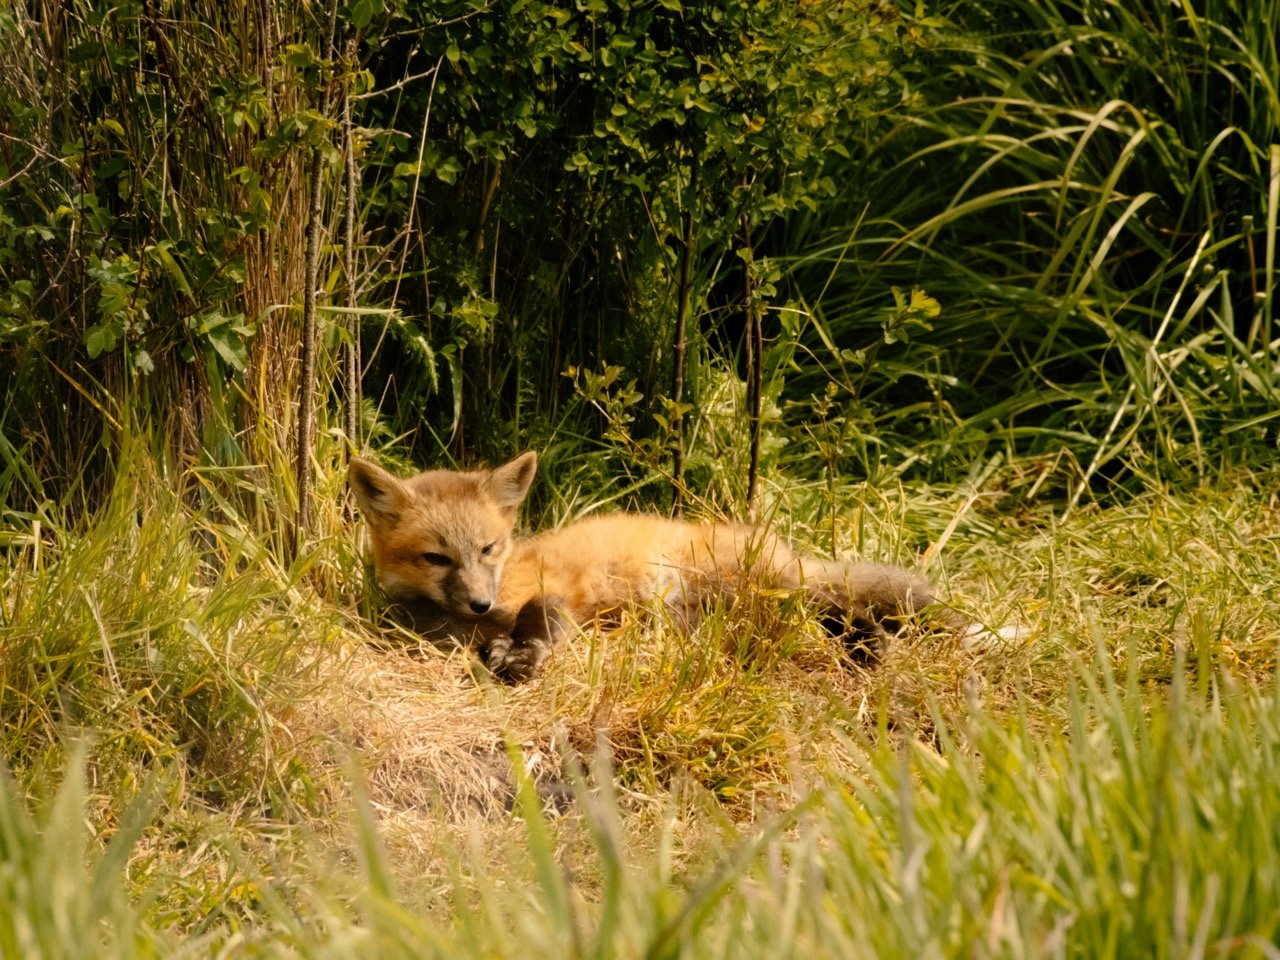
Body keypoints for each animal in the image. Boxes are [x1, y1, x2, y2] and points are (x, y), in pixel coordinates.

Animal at [349, 451, 938, 682]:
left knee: (837, 605)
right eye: (437, 558)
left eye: (489, 548)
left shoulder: (554, 591)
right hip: (711, 611)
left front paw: (522, 655)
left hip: (763, 589)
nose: (480, 602)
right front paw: (498, 647)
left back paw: (869, 643)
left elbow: (537, 619)